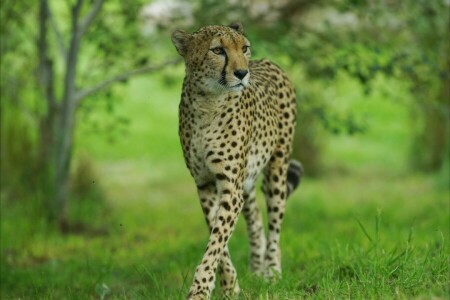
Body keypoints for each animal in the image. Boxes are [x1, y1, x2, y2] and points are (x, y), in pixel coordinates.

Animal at [171, 22, 304, 298]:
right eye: (218, 50)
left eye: (244, 48)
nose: (242, 73)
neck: (207, 101)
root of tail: (268, 62)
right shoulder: (205, 184)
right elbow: (218, 239)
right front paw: (230, 286)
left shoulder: (230, 187)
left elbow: (216, 241)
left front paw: (200, 290)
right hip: (248, 180)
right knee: (255, 220)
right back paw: (256, 268)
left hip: (277, 168)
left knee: (275, 223)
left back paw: (272, 272)